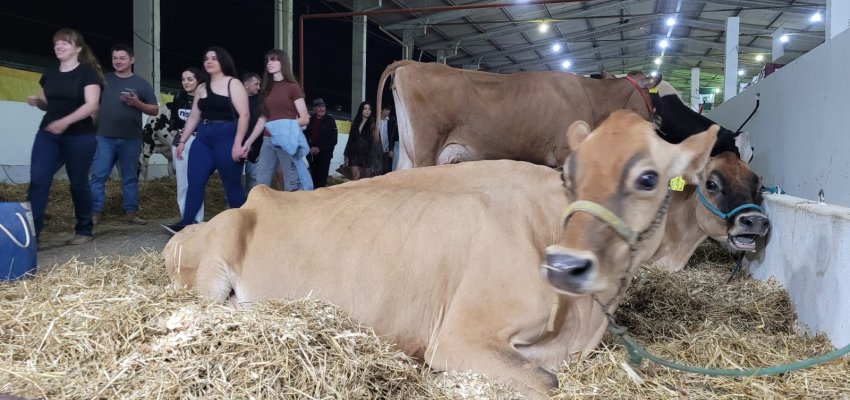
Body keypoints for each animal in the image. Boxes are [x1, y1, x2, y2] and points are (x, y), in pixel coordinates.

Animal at [164, 110, 717, 399]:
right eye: (569, 173)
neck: (583, 319)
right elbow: (547, 382)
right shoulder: (457, 338)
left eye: (648, 177)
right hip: (214, 264)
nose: (565, 264)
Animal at [375, 60, 656, 170]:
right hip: (426, 150)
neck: (589, 95)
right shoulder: (565, 154)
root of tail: (412, 63)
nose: (657, 123)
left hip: (409, 152)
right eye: (651, 95)